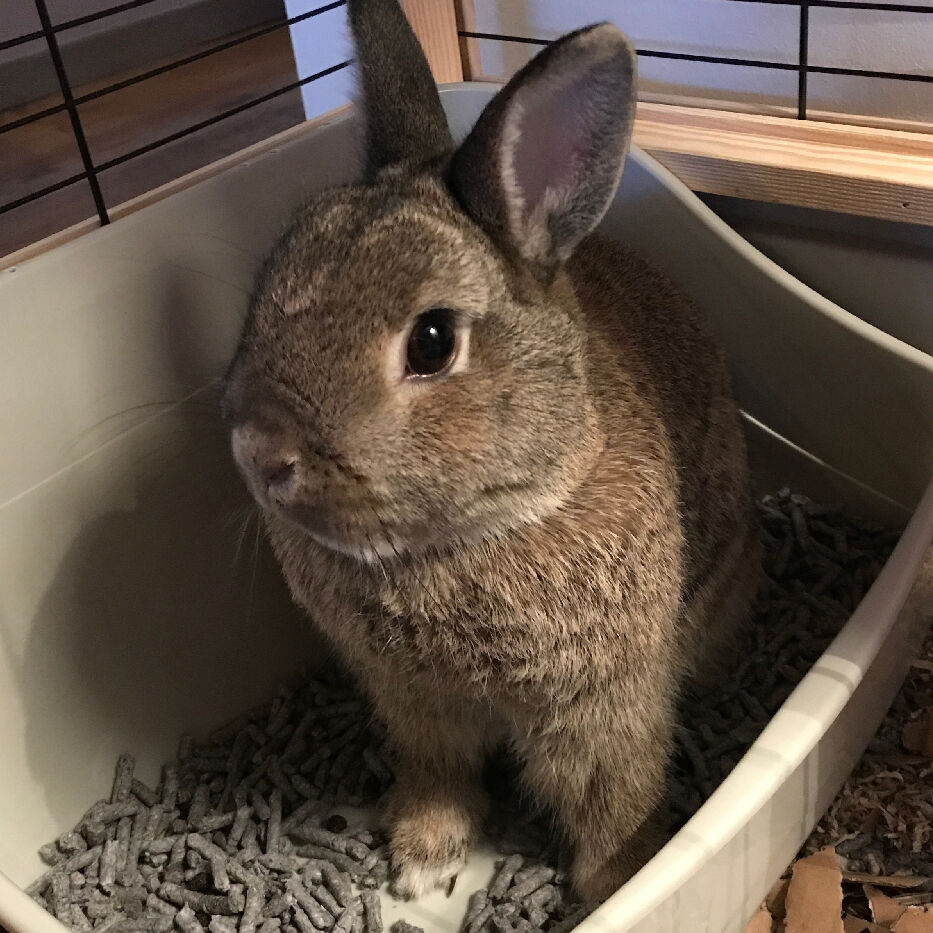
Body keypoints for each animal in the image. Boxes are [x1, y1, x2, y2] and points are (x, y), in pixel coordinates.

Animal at [221, 0, 761, 906]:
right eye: (265, 292)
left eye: (432, 341)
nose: (262, 455)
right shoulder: (414, 704)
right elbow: (439, 773)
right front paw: (421, 860)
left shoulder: (602, 708)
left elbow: (612, 800)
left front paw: (620, 885)